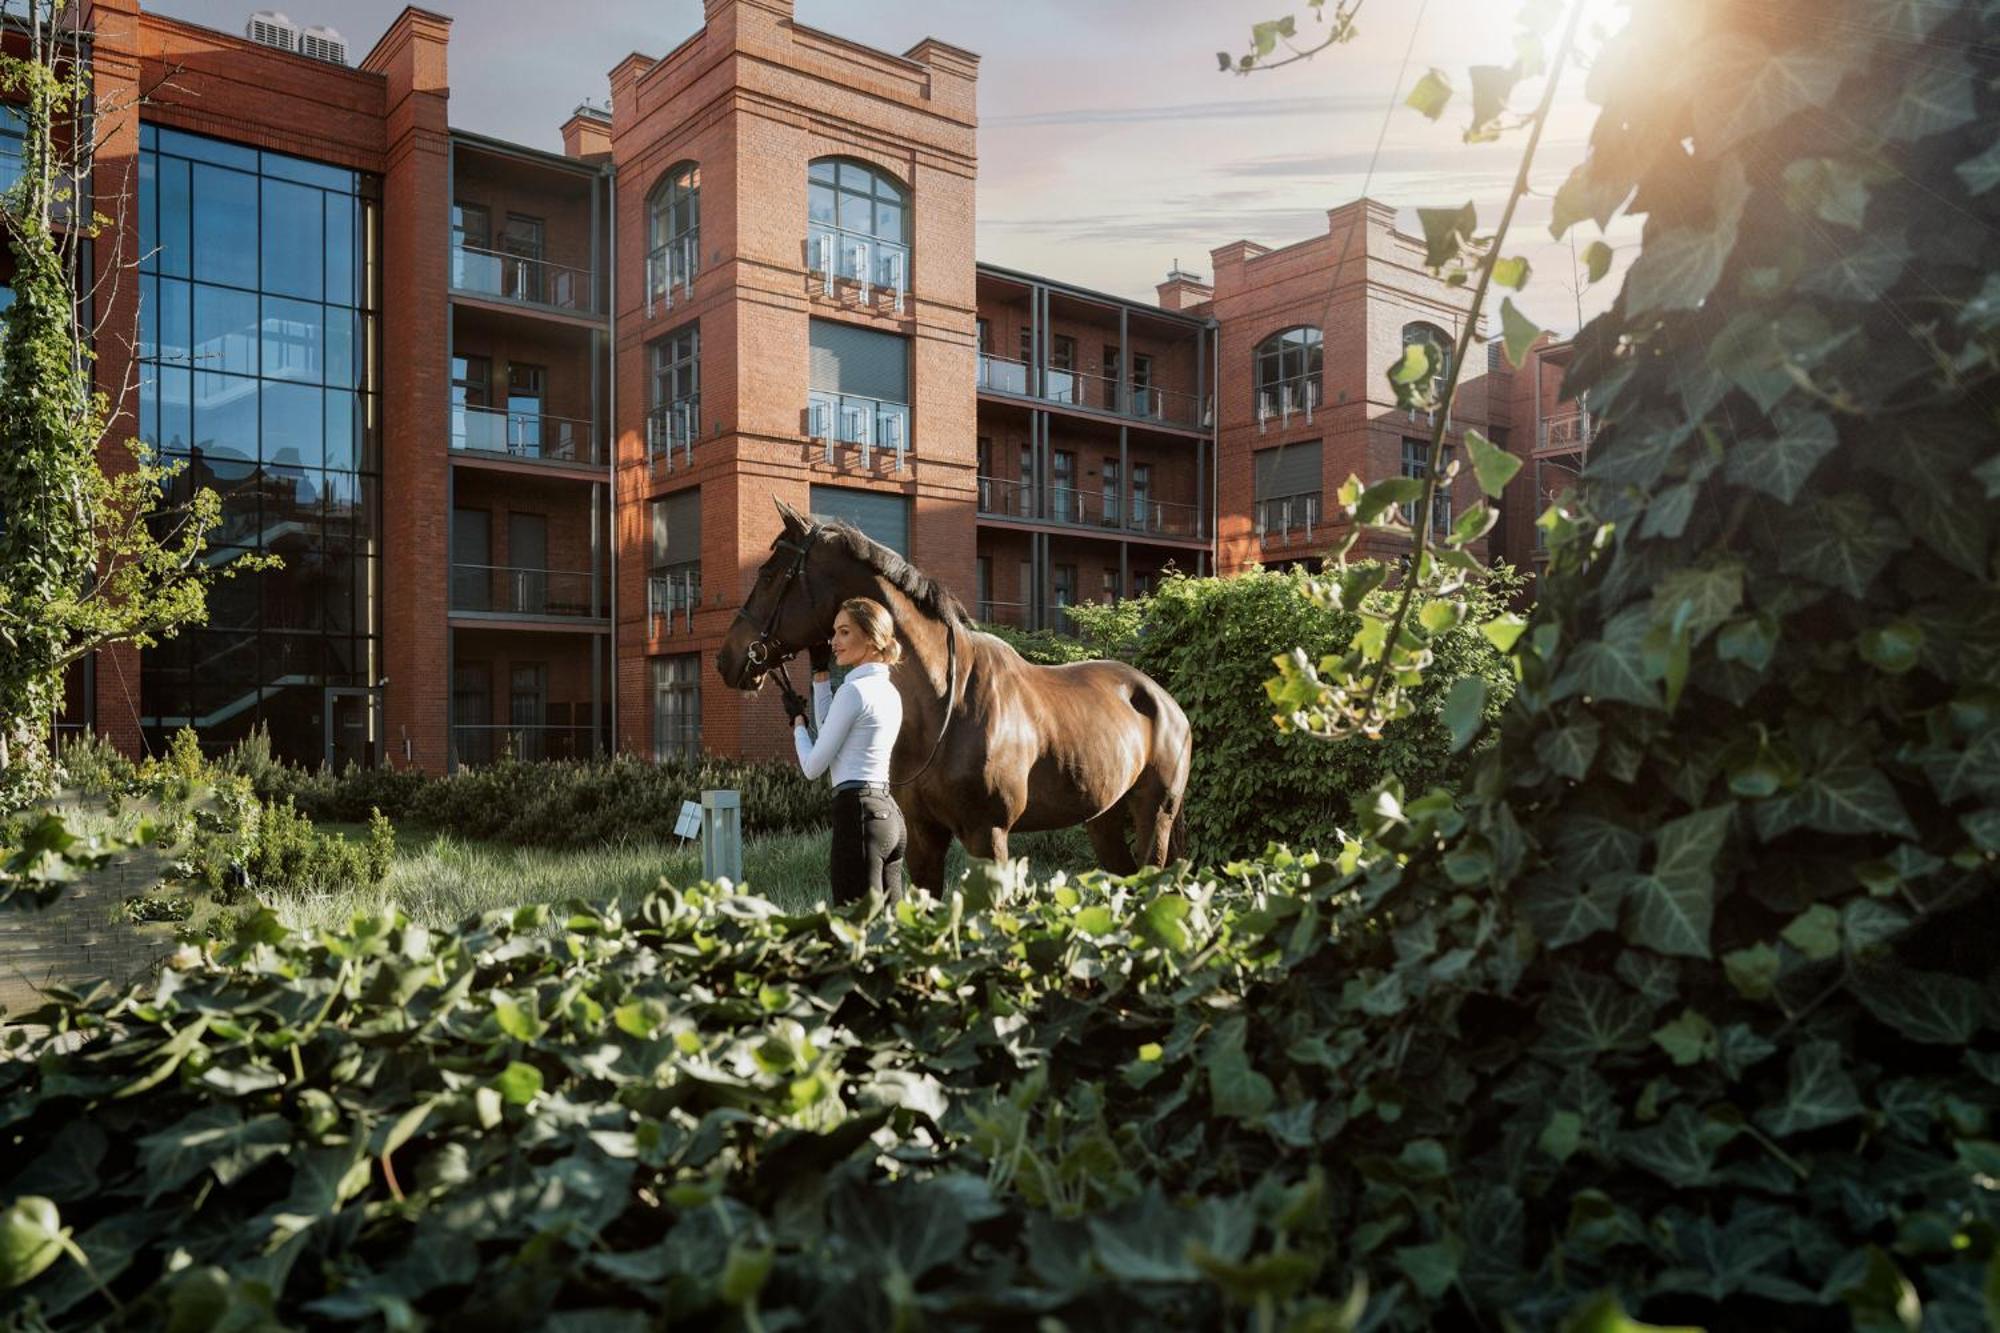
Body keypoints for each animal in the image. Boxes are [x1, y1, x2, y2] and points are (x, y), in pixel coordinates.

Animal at [720, 492, 1184, 888]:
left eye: (768, 574)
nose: (727, 659)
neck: (945, 702)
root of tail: (1164, 702)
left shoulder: (987, 835)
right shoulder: (924, 836)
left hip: (1154, 815)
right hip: (1102, 817)